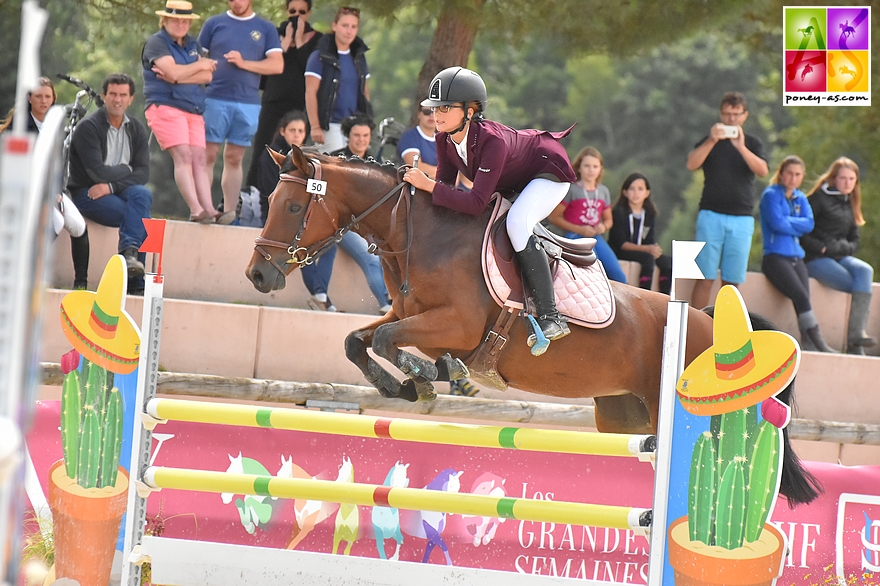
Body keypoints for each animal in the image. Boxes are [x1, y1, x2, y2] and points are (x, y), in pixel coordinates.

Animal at [244, 145, 820, 502]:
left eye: (292, 206)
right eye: (269, 200)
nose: (257, 275)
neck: (418, 233)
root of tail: (704, 321)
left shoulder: (454, 325)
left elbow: (388, 340)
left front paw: (426, 378)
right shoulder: (408, 314)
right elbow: (356, 340)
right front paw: (406, 385)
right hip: (625, 417)